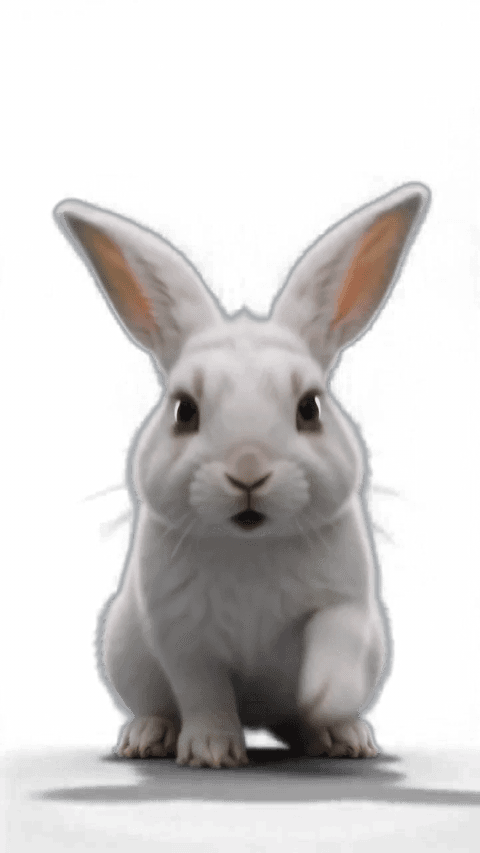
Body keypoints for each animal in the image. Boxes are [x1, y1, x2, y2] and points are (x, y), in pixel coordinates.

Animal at [54, 183, 430, 768]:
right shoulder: (184, 638)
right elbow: (203, 695)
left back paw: (341, 736)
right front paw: (210, 752)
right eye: (184, 410)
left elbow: (335, 641)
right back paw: (146, 738)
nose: (248, 471)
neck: (250, 546)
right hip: (125, 651)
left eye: (309, 408)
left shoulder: (344, 604)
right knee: (155, 706)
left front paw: (323, 698)